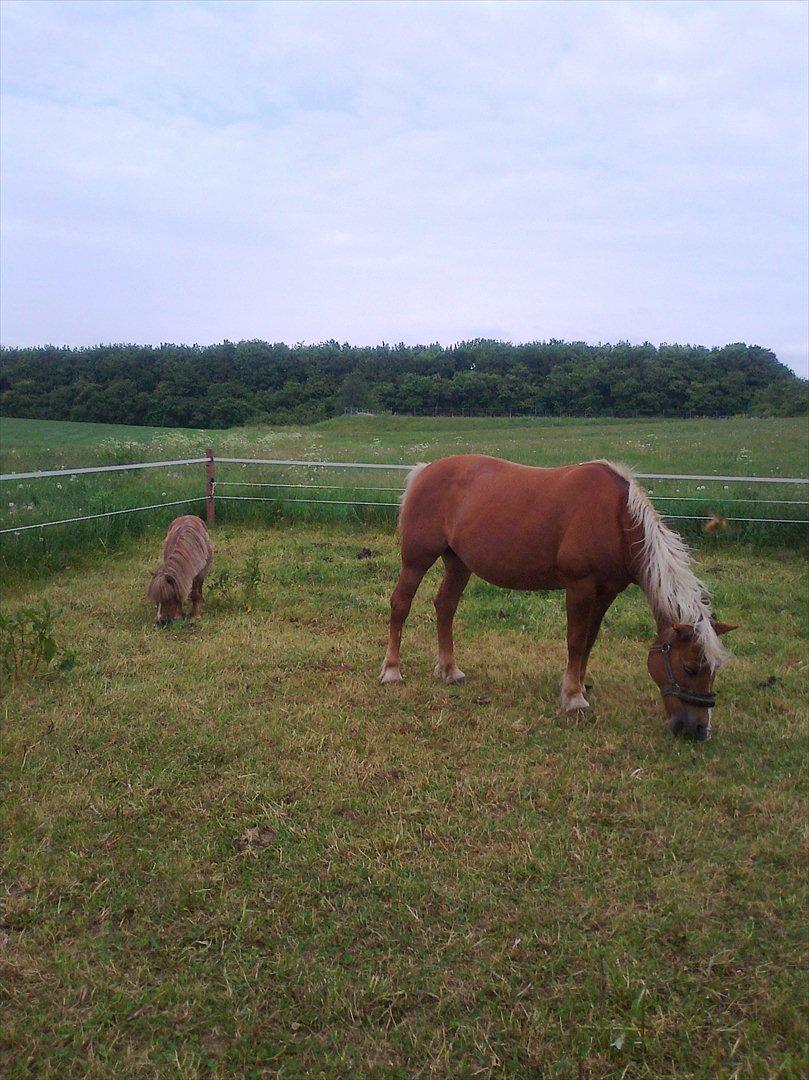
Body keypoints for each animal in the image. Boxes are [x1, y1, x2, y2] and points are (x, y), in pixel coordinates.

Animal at [382, 455, 734, 743]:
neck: (616, 518)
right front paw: (574, 698)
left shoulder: (606, 592)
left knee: (445, 607)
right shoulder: (580, 587)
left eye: (714, 669)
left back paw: (449, 670)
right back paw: (392, 670)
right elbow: (576, 641)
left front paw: (577, 684)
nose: (698, 730)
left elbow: (590, 640)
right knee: (401, 606)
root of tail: (425, 470)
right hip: (416, 560)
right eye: (690, 668)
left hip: (458, 563)